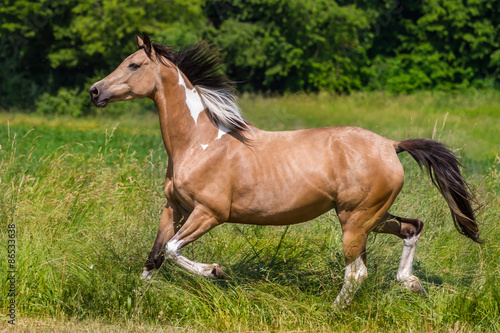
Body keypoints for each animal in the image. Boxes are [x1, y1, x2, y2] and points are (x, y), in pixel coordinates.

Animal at [89, 33, 480, 306]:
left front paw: (216, 272)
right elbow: (154, 257)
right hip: (370, 217)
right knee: (412, 227)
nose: (94, 91)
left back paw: (333, 313)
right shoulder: (174, 208)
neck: (200, 143)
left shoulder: (209, 213)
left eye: (134, 65)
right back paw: (412, 284)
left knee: (357, 272)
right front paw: (136, 303)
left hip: (355, 221)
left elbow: (172, 250)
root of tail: (390, 144)